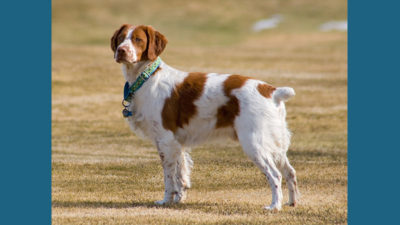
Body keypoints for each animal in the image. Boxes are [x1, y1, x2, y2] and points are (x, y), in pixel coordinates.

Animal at [111, 24, 298, 211]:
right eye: (121, 38)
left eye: (138, 39)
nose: (121, 51)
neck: (147, 78)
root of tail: (272, 91)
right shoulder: (177, 143)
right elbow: (181, 174)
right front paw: (178, 199)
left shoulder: (165, 140)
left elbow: (169, 178)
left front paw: (166, 201)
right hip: (275, 144)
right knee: (290, 171)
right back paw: (292, 202)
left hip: (254, 143)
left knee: (275, 175)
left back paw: (274, 205)